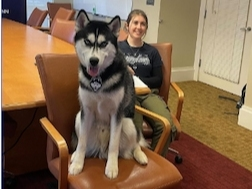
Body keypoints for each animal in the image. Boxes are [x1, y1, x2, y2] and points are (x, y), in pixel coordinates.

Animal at [68, 9, 149, 179]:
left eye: (104, 43)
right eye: (87, 41)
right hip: (78, 118)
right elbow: (82, 142)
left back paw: (139, 155)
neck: (100, 78)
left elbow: (114, 145)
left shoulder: (117, 113)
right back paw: (75, 155)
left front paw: (112, 167)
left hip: (128, 123)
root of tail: (101, 150)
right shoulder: (86, 110)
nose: (93, 61)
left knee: (135, 144)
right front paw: (78, 163)